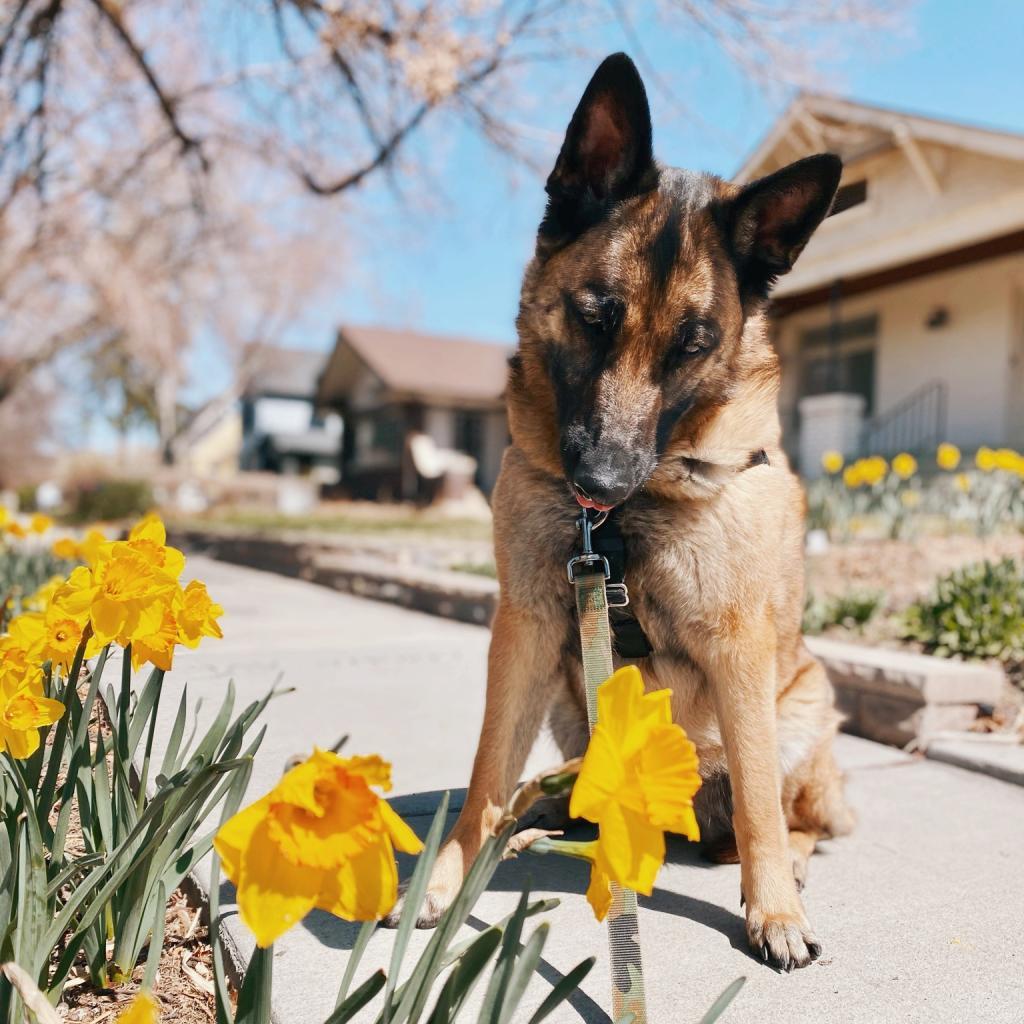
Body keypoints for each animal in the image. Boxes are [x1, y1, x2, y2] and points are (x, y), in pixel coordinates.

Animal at [391, 54, 856, 966]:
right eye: (594, 316)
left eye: (693, 345)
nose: (601, 481)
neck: (626, 519)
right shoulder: (528, 624)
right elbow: (487, 768)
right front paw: (451, 872)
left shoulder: (739, 650)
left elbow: (758, 802)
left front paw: (774, 910)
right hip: (569, 697)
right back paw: (550, 810)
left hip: (803, 703)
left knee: (792, 817)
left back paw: (790, 862)